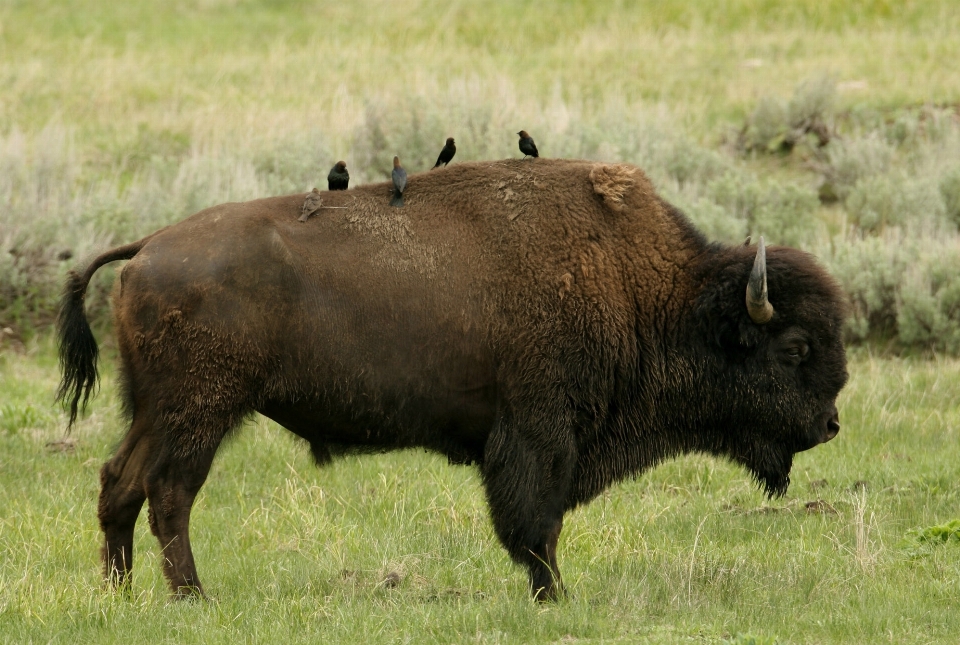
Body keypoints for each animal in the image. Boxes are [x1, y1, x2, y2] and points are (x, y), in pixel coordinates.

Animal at [56, 156, 848, 600]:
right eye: (795, 348)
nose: (831, 424)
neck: (645, 291)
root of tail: (147, 246)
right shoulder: (538, 434)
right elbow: (536, 524)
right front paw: (556, 596)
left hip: (157, 412)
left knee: (119, 482)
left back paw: (121, 594)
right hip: (200, 412)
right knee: (169, 494)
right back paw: (193, 597)